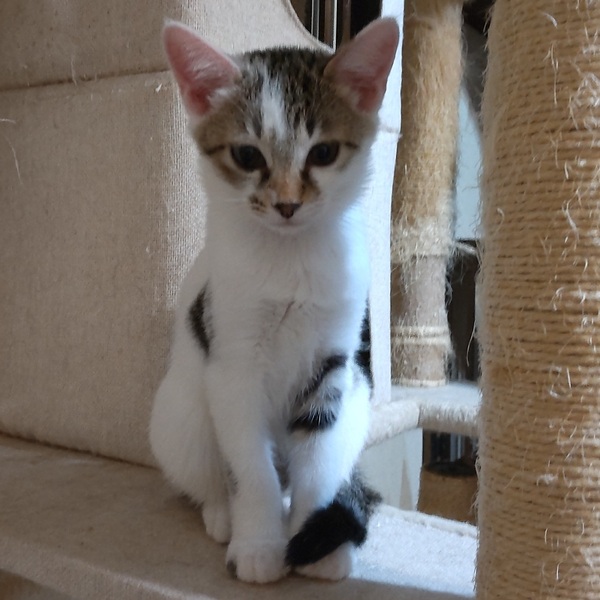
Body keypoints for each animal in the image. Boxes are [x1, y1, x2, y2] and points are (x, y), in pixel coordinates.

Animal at [149, 17, 399, 584]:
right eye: (247, 156)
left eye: (324, 153)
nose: (287, 204)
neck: (291, 261)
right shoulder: (232, 363)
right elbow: (250, 467)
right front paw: (260, 545)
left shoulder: (333, 363)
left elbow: (319, 463)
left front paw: (315, 546)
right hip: (180, 415)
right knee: (209, 472)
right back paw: (222, 514)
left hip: (357, 397)